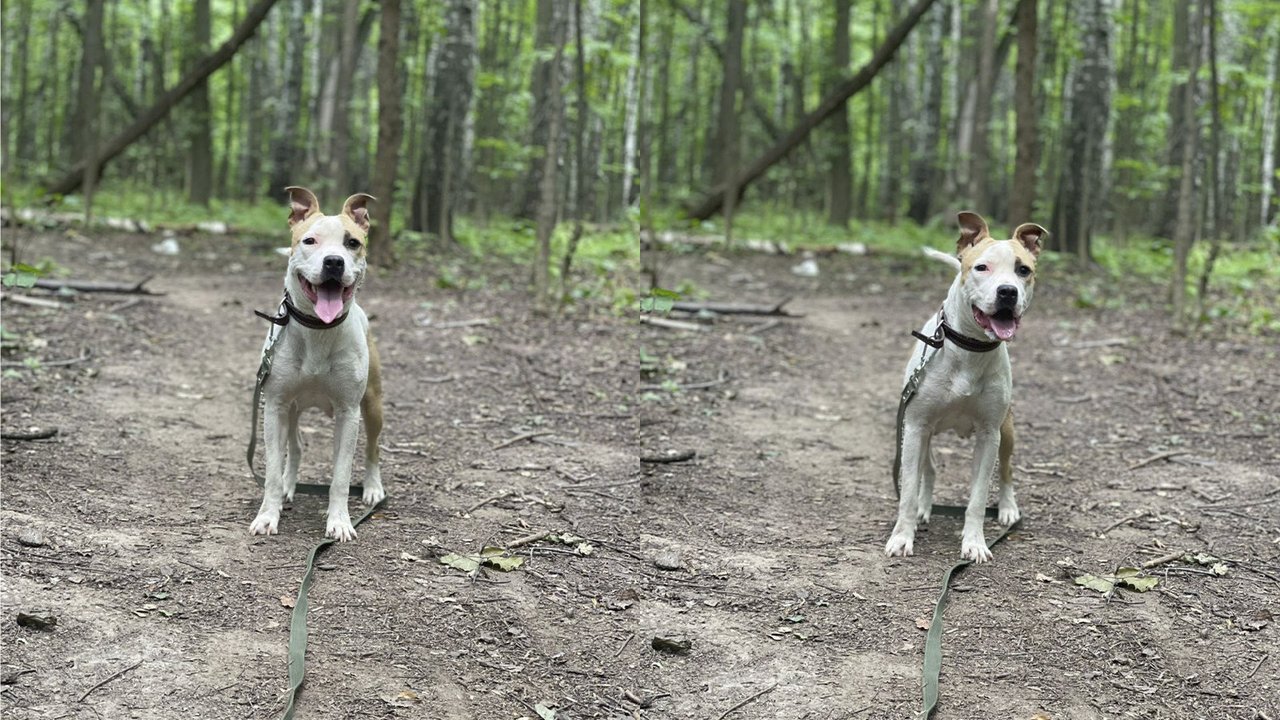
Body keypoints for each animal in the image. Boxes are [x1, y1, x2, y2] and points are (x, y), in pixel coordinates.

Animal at [249, 184, 384, 538]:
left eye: (353, 243)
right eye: (309, 241)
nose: (334, 262)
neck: (318, 331)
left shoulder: (349, 412)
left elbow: (341, 475)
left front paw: (339, 522)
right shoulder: (275, 406)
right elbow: (272, 469)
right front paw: (268, 515)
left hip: (373, 404)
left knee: (373, 448)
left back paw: (373, 488)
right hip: (293, 409)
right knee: (295, 447)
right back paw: (288, 486)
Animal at [885, 211, 1044, 561]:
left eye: (1023, 270)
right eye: (981, 267)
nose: (1008, 292)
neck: (970, 350)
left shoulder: (989, 434)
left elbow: (978, 497)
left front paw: (974, 543)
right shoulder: (915, 426)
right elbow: (909, 490)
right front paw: (902, 536)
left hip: (1007, 430)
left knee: (1007, 471)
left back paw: (1008, 509)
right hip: (924, 433)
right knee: (928, 470)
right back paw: (924, 507)